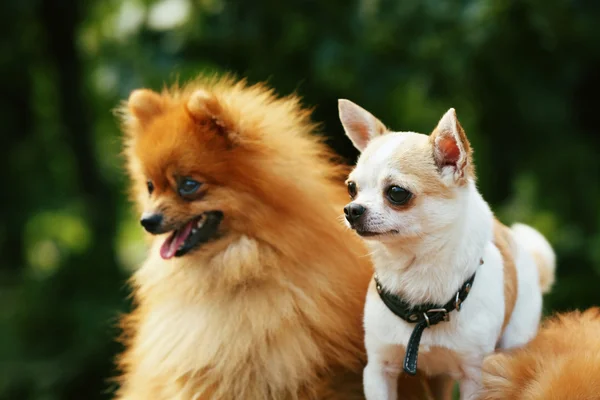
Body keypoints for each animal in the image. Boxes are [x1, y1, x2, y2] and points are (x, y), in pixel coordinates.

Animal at [340, 101, 556, 400]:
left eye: (396, 192)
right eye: (352, 188)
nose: (351, 210)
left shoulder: (474, 376)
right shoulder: (378, 370)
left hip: (513, 342)